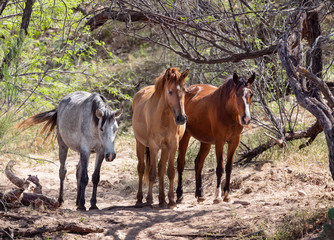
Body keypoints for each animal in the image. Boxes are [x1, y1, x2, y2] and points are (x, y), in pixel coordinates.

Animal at [133, 67, 190, 208]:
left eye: (184, 91)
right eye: (170, 91)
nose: (181, 118)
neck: (163, 117)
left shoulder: (172, 145)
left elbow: (169, 172)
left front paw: (171, 200)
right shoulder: (153, 146)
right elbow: (152, 173)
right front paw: (149, 199)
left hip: (164, 148)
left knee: (161, 169)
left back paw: (162, 199)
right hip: (140, 143)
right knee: (141, 168)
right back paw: (140, 199)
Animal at [176, 72, 254, 203]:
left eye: (251, 94)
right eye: (237, 94)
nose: (246, 119)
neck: (227, 111)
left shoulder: (234, 142)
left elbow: (229, 167)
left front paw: (227, 194)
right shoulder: (219, 141)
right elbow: (220, 168)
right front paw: (218, 196)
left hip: (205, 142)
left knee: (198, 162)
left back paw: (200, 194)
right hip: (185, 136)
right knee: (181, 163)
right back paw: (179, 195)